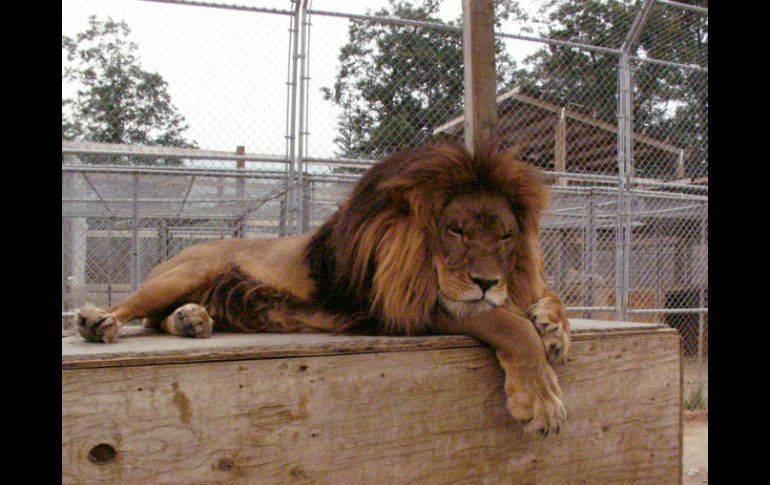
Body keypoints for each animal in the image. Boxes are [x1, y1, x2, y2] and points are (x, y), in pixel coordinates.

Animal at [73, 140, 568, 434]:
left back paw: (192, 319)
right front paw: (542, 398)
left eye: (505, 237)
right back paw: (98, 320)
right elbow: (506, 323)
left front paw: (554, 328)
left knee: (158, 319)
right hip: (186, 272)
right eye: (457, 231)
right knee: (134, 310)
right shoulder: (395, 304)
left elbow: (545, 296)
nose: (487, 281)